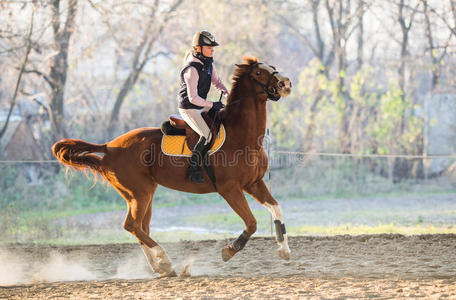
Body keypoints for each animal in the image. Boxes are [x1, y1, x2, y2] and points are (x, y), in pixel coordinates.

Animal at [50, 56, 292, 276]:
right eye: (259, 73)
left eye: (272, 67)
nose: (287, 83)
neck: (241, 135)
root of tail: (109, 147)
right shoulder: (230, 189)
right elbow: (251, 223)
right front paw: (229, 251)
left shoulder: (253, 183)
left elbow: (276, 209)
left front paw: (284, 250)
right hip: (140, 193)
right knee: (132, 226)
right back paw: (164, 260)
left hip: (142, 194)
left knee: (140, 227)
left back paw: (162, 267)